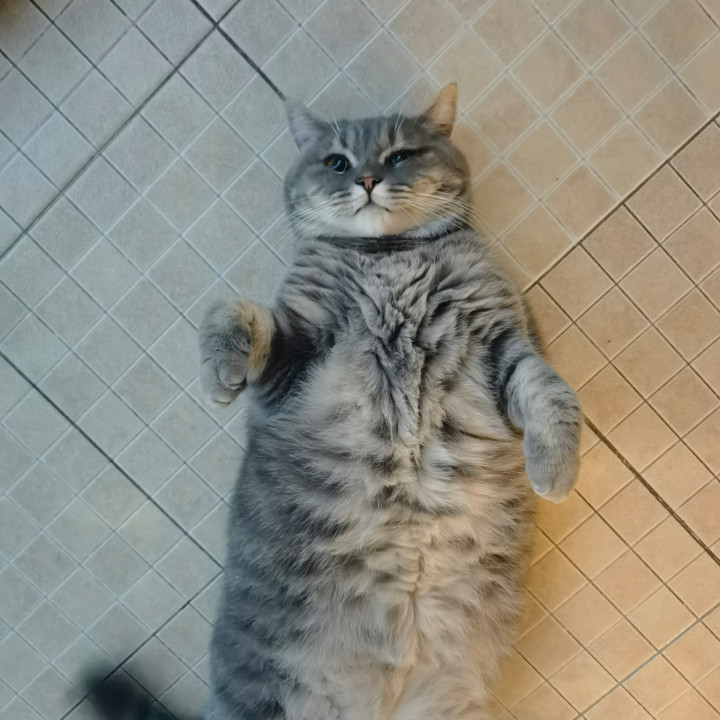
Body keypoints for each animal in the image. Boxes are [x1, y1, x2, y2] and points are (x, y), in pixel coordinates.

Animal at [86, 84, 581, 720]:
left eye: (400, 156)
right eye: (337, 163)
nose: (368, 179)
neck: (388, 255)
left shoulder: (504, 338)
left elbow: (551, 390)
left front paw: (554, 469)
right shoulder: (295, 354)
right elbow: (229, 307)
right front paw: (220, 372)